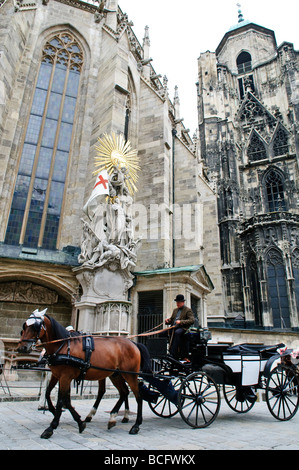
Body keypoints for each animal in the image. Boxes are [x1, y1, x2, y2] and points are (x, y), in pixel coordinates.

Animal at [17, 310, 151, 438]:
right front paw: (77, 421)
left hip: (130, 374)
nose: (21, 348)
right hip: (115, 374)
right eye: (24, 327)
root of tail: (133, 343)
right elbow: (52, 394)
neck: (63, 346)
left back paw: (136, 425)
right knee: (124, 392)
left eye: (35, 326)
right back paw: (113, 418)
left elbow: (61, 400)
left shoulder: (65, 376)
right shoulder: (57, 375)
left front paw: (51, 428)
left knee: (138, 396)